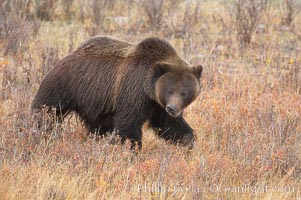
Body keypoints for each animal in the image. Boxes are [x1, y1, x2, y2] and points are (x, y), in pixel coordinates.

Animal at [32, 35, 202, 150]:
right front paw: (131, 149)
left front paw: (188, 140)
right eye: (170, 91)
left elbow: (169, 125)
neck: (148, 90)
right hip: (64, 86)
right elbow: (129, 125)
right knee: (46, 112)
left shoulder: (156, 105)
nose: (172, 108)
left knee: (98, 127)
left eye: (184, 92)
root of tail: (65, 57)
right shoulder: (133, 92)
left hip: (96, 103)